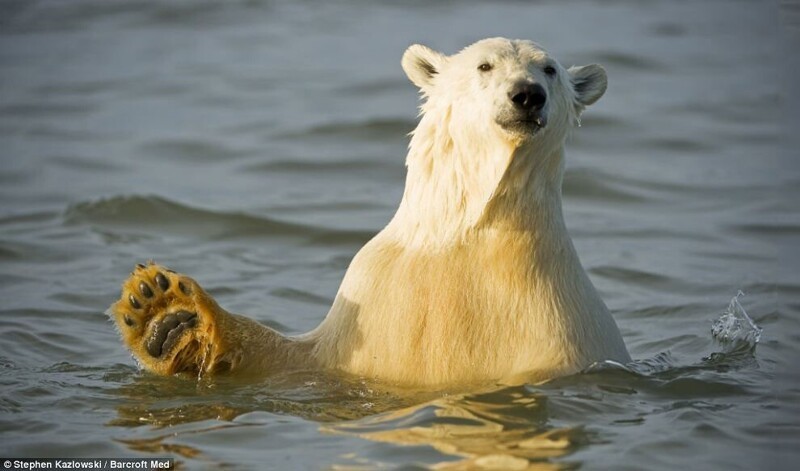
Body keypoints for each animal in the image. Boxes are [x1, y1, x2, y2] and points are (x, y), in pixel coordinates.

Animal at [108, 38, 632, 388]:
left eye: (550, 70)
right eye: (484, 65)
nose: (526, 94)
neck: (469, 232)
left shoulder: (557, 329)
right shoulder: (377, 295)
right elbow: (292, 361)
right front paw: (162, 312)